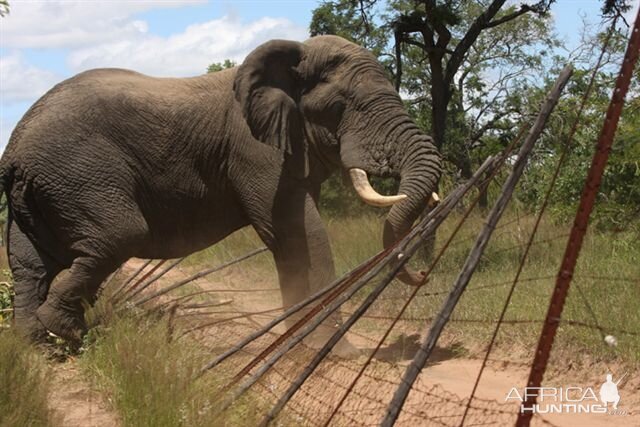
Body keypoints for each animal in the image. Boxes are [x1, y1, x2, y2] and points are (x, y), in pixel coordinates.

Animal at [0, 35, 440, 352]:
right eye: (342, 105)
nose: (422, 274)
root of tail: (14, 147)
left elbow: (296, 236)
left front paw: (304, 346)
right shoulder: (253, 149)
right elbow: (300, 234)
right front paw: (329, 351)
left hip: (42, 189)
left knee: (31, 262)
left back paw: (37, 344)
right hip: (77, 172)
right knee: (118, 235)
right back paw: (67, 333)